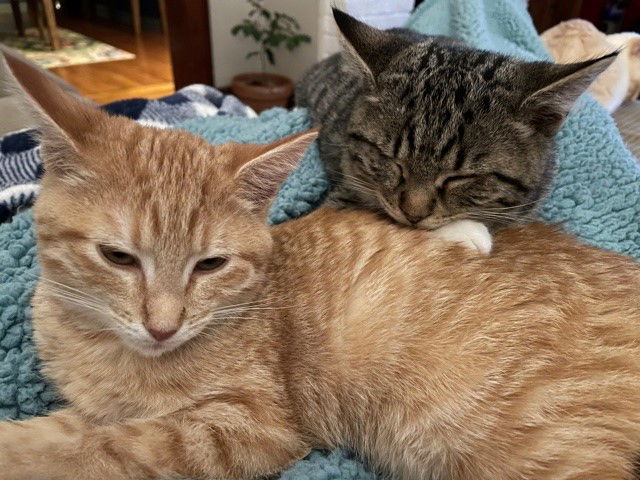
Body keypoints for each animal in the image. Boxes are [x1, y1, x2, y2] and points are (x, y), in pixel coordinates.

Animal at [1, 50, 640, 480]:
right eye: (117, 257)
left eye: (210, 265)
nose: (164, 326)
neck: (100, 345)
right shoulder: (96, 407)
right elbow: (65, 432)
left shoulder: (248, 427)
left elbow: (109, 449)